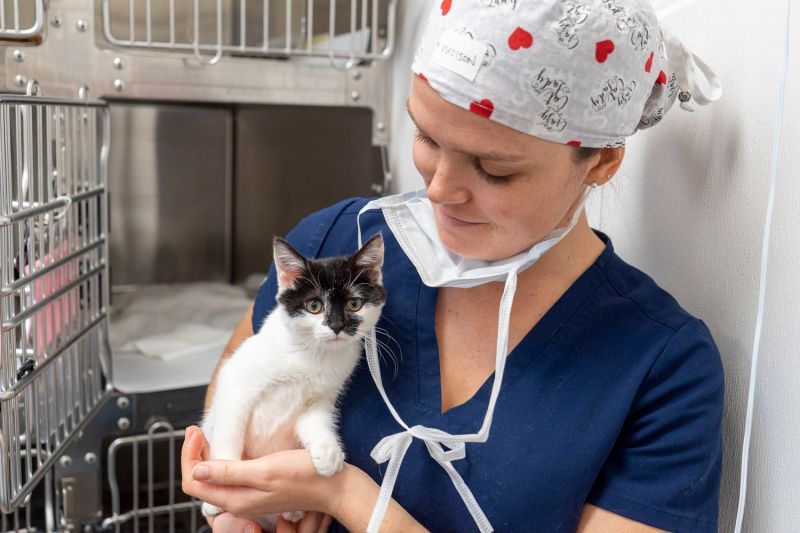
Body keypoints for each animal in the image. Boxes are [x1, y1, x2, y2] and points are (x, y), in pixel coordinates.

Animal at [202, 233, 386, 528]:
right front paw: (219, 486)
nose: (336, 326)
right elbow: (229, 432)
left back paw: (292, 510)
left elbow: (315, 419)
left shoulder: (320, 398)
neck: (314, 355)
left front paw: (327, 450)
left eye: (354, 304)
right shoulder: (236, 385)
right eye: (314, 306)